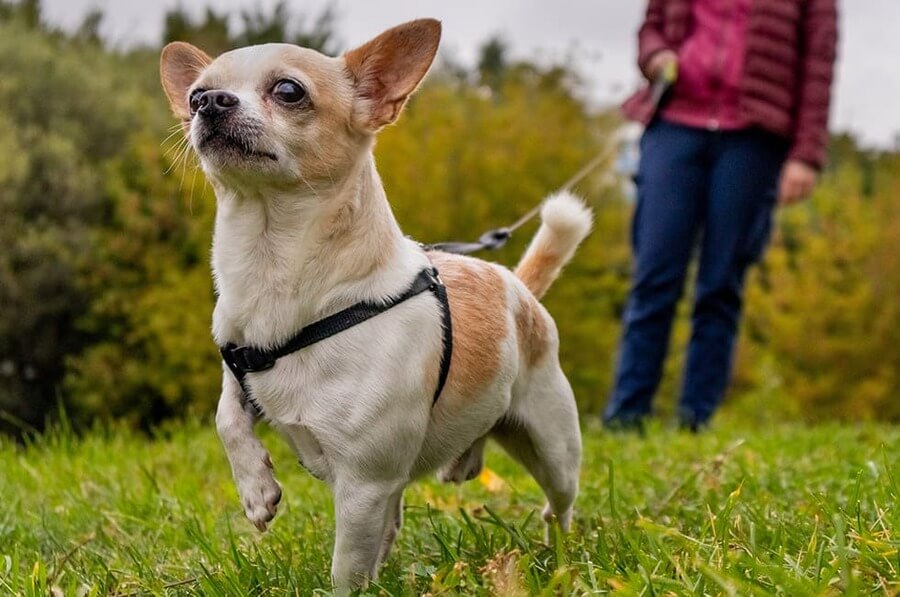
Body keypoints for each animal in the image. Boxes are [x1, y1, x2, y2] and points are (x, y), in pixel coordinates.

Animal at [160, 17, 592, 588]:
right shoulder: (240, 366)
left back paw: (560, 555)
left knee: (559, 503)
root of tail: (516, 285)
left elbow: (346, 568)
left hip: (552, 444)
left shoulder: (363, 486)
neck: (274, 270)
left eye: (289, 91)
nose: (208, 101)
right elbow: (227, 416)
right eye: (193, 96)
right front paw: (256, 490)